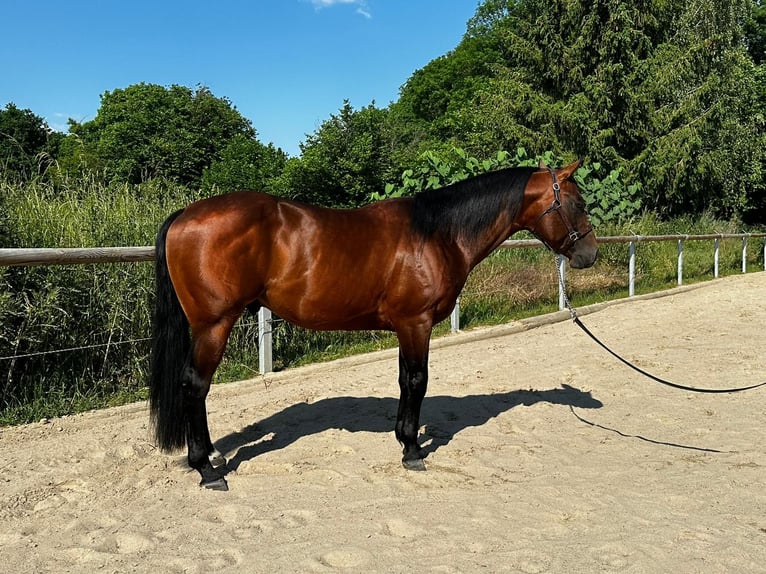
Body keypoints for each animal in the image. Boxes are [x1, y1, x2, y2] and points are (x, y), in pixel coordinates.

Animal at [148, 161, 600, 490]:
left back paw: (213, 457)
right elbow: (417, 380)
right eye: (578, 203)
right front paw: (413, 451)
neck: (438, 233)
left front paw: (403, 438)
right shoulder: (416, 323)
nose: (590, 254)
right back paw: (207, 470)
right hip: (214, 325)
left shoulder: (405, 326)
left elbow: (404, 380)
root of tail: (186, 215)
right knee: (195, 386)